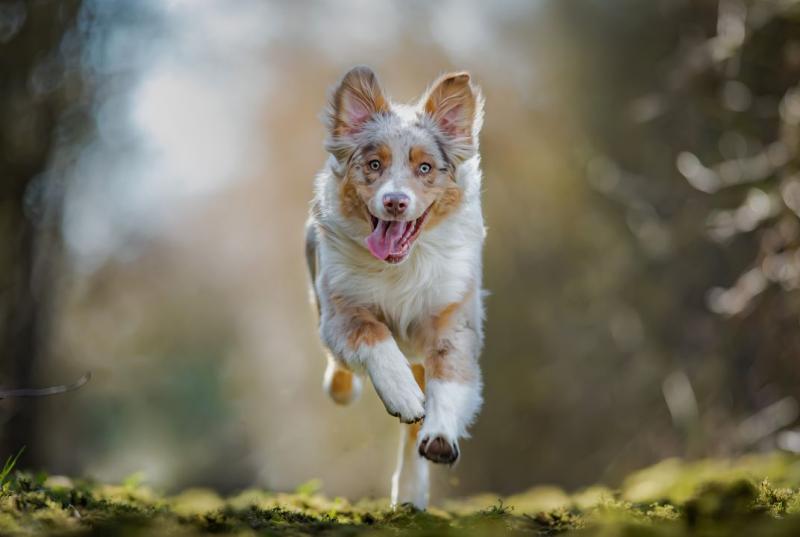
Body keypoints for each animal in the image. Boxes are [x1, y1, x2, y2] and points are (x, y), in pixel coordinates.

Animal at [304, 66, 484, 506]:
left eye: (425, 168)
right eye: (374, 164)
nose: (395, 202)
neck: (402, 267)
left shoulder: (454, 317)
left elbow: (450, 377)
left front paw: (440, 434)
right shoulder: (339, 308)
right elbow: (373, 335)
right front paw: (401, 394)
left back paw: (410, 491)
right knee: (341, 368)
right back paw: (345, 388)